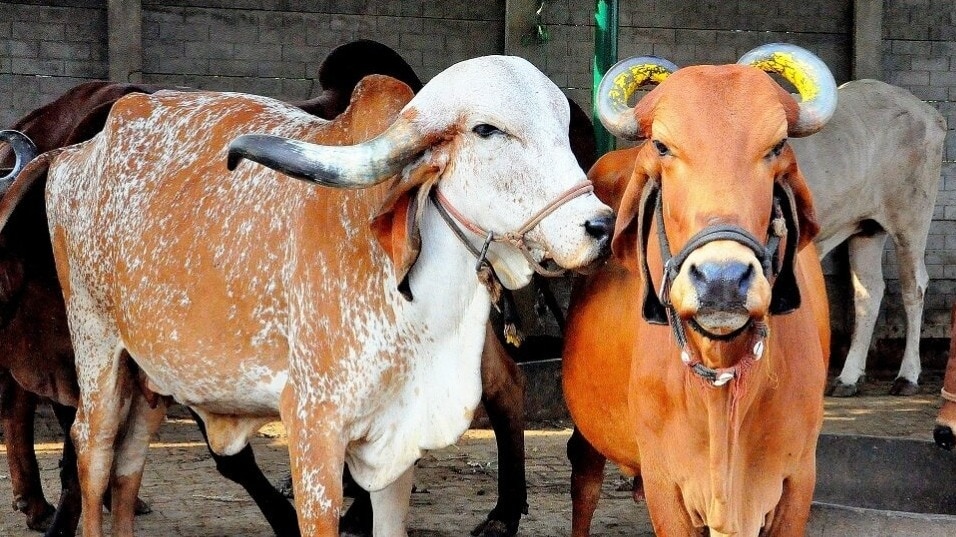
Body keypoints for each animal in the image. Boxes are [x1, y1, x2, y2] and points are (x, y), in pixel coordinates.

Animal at [5, 55, 612, 536]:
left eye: (564, 128)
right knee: (93, 451)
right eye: (488, 130)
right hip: (98, 346)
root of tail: (74, 153)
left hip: (153, 373)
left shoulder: (396, 445)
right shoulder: (313, 430)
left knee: (129, 463)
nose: (601, 225)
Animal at [562, 43, 834, 536]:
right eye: (663, 146)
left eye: (777, 146)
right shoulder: (665, 483)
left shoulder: (798, 479)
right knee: (584, 480)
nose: (722, 279)